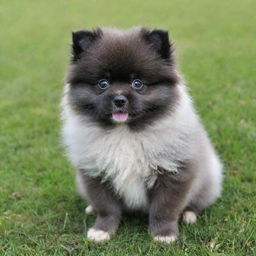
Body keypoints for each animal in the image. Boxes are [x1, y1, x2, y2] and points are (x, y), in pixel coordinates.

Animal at [61, 27, 223, 243]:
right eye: (103, 83)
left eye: (137, 83)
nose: (119, 99)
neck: (125, 133)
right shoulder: (95, 173)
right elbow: (106, 208)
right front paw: (102, 230)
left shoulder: (173, 173)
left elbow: (164, 208)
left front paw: (164, 234)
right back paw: (90, 208)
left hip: (208, 178)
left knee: (198, 201)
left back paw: (189, 214)